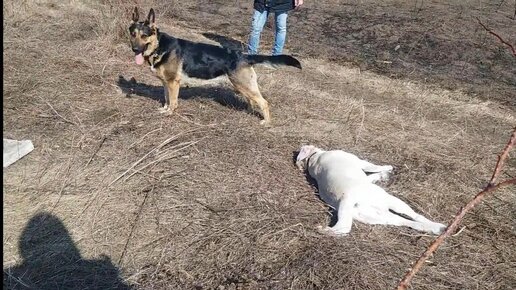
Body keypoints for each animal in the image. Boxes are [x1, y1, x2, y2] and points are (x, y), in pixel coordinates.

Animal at [127, 7, 302, 124]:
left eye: (144, 36)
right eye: (133, 34)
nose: (134, 49)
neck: (159, 47)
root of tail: (243, 55)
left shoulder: (173, 83)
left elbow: (173, 101)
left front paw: (169, 113)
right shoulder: (166, 83)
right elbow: (166, 98)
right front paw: (164, 109)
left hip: (243, 85)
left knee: (264, 102)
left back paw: (266, 122)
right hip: (242, 87)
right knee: (253, 101)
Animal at [296, 145, 446, 236]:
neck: (313, 159)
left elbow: (373, 175)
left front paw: (383, 174)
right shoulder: (360, 162)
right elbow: (376, 167)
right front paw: (388, 168)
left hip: (383, 215)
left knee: (411, 221)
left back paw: (437, 228)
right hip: (385, 201)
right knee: (344, 228)